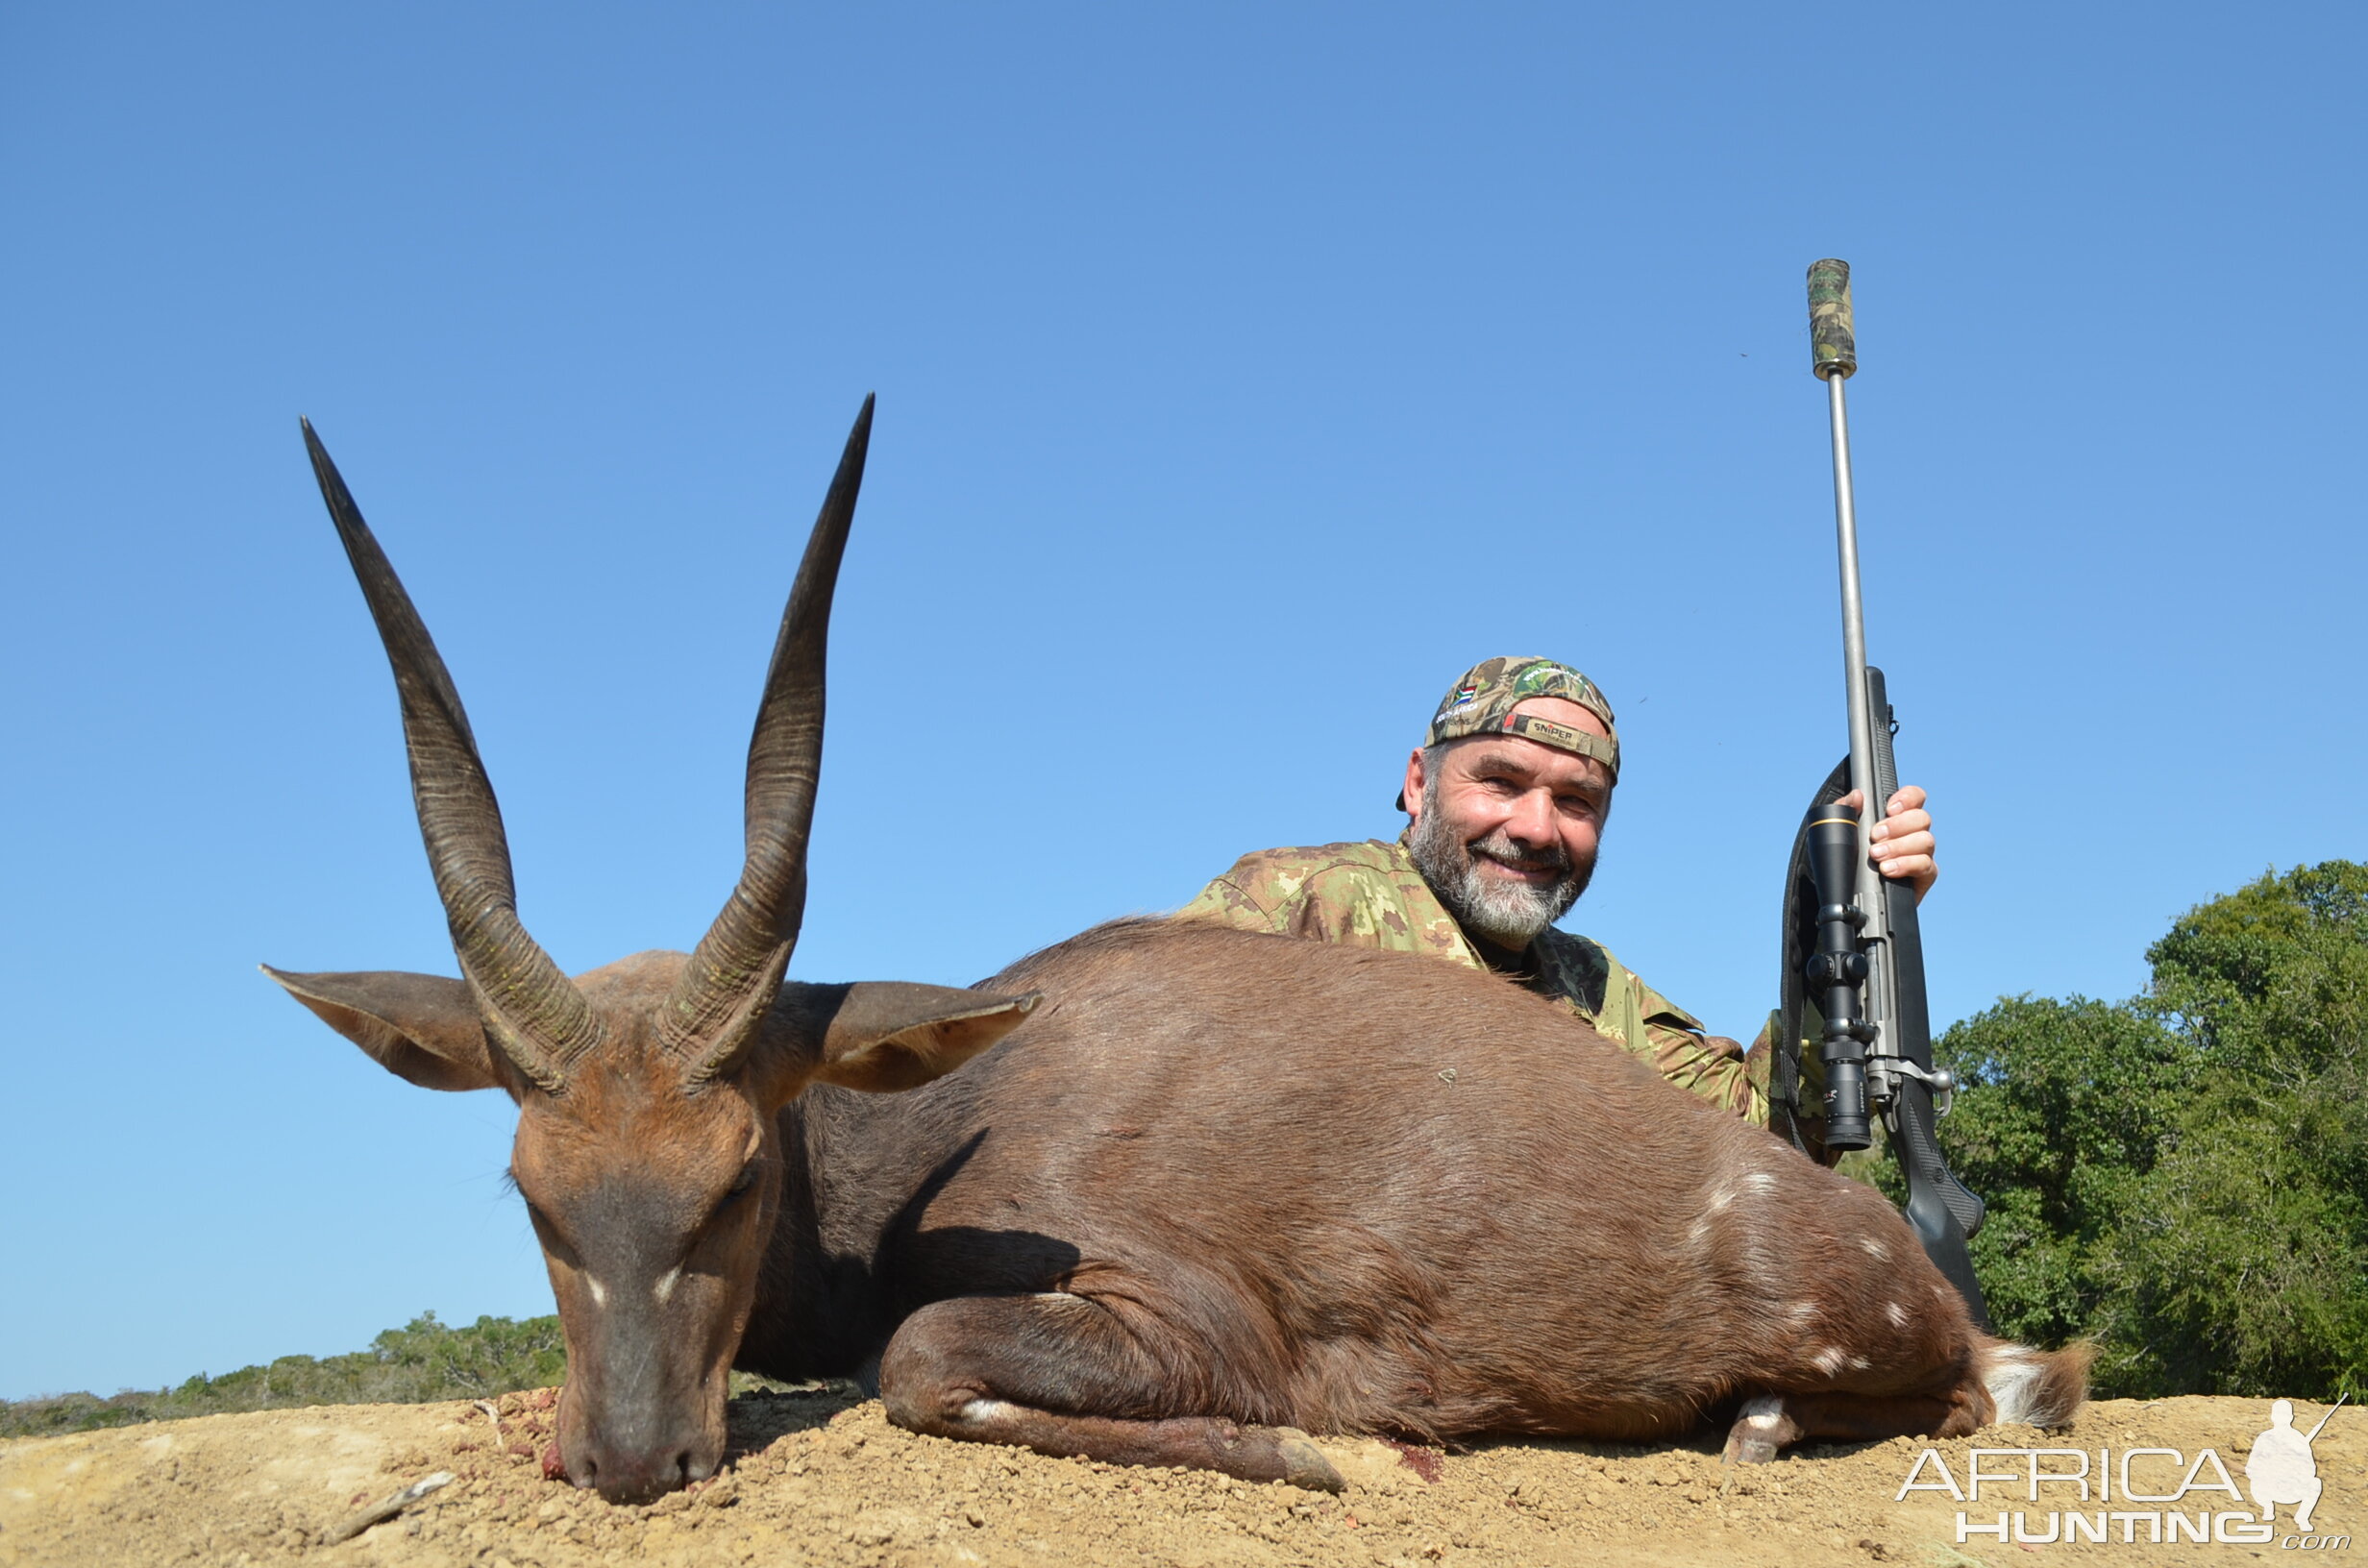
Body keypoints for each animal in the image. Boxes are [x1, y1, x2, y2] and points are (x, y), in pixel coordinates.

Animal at [268, 404, 2084, 1515]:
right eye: (530, 1192)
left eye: (732, 1177)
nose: (635, 1461)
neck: (941, 1129)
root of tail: (1902, 1261)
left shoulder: (1179, 1314)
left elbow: (920, 1360)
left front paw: (1331, 1458)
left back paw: (1765, 1421)